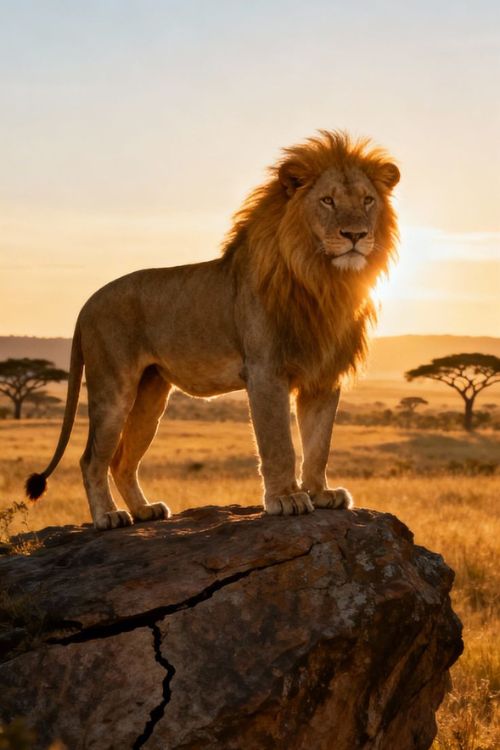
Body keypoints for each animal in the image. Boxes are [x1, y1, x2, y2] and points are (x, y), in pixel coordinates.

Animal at [26, 131, 400, 530]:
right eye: (327, 200)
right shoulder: (265, 371)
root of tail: (86, 303)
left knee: (122, 460)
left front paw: (321, 493)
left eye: (367, 200)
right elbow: (278, 444)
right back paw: (109, 516)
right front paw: (285, 498)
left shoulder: (323, 376)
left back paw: (145, 510)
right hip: (114, 387)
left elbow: (319, 444)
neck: (324, 280)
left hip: (151, 394)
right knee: (91, 458)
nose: (355, 235)